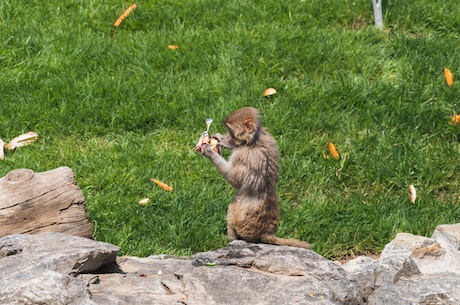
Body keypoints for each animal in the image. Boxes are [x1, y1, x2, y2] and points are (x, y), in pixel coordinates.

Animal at [201, 106, 310, 247]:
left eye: (230, 130)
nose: (227, 136)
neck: (254, 141)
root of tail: (266, 232)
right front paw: (222, 140)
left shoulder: (245, 155)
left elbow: (235, 179)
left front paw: (210, 152)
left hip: (242, 224)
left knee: (233, 206)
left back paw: (232, 237)